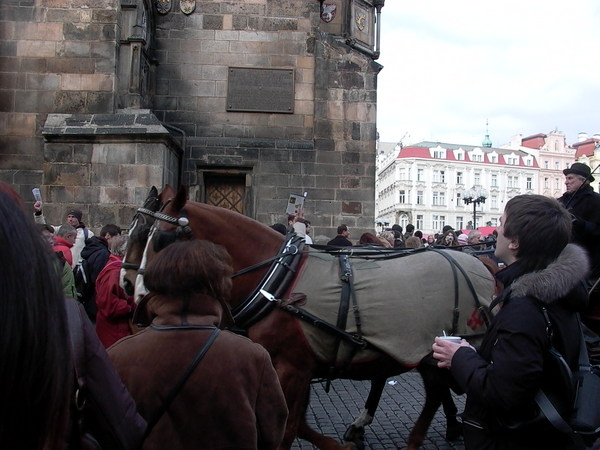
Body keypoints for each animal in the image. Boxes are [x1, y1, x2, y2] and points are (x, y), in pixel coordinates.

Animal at [120, 185, 492, 448]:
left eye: (161, 238)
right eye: (138, 234)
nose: (133, 292)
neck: (277, 279)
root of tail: (478, 262)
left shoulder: (292, 368)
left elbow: (287, 430)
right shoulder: (285, 367)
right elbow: (295, 423)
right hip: (428, 350)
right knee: (432, 391)